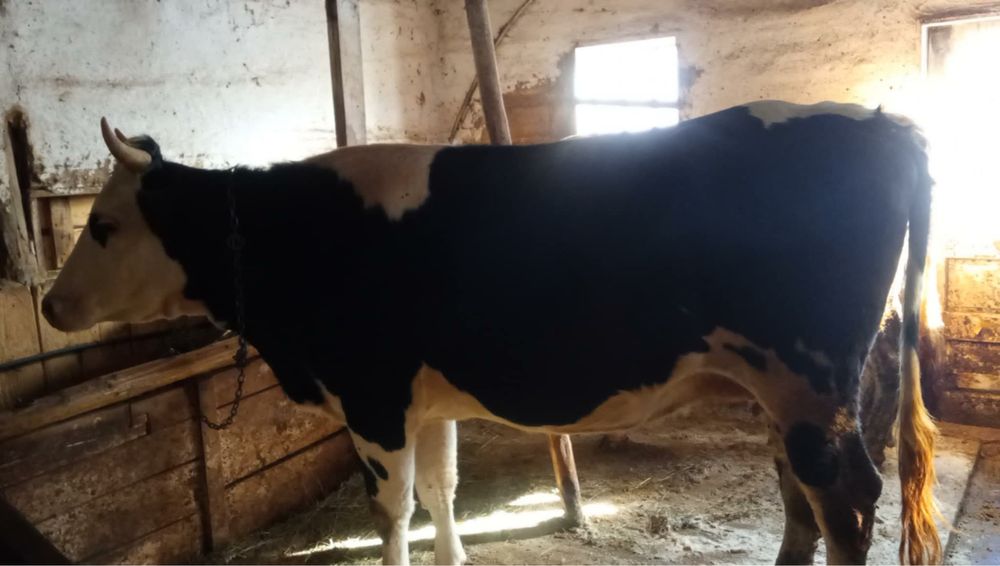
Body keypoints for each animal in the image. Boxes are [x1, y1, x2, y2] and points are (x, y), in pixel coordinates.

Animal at [42, 101, 939, 565]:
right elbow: (440, 491)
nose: (50, 308)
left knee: (846, 500)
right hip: (787, 389)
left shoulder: (371, 396)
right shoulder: (427, 402)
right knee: (802, 494)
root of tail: (885, 124)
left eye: (104, 226)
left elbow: (389, 509)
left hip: (809, 380)